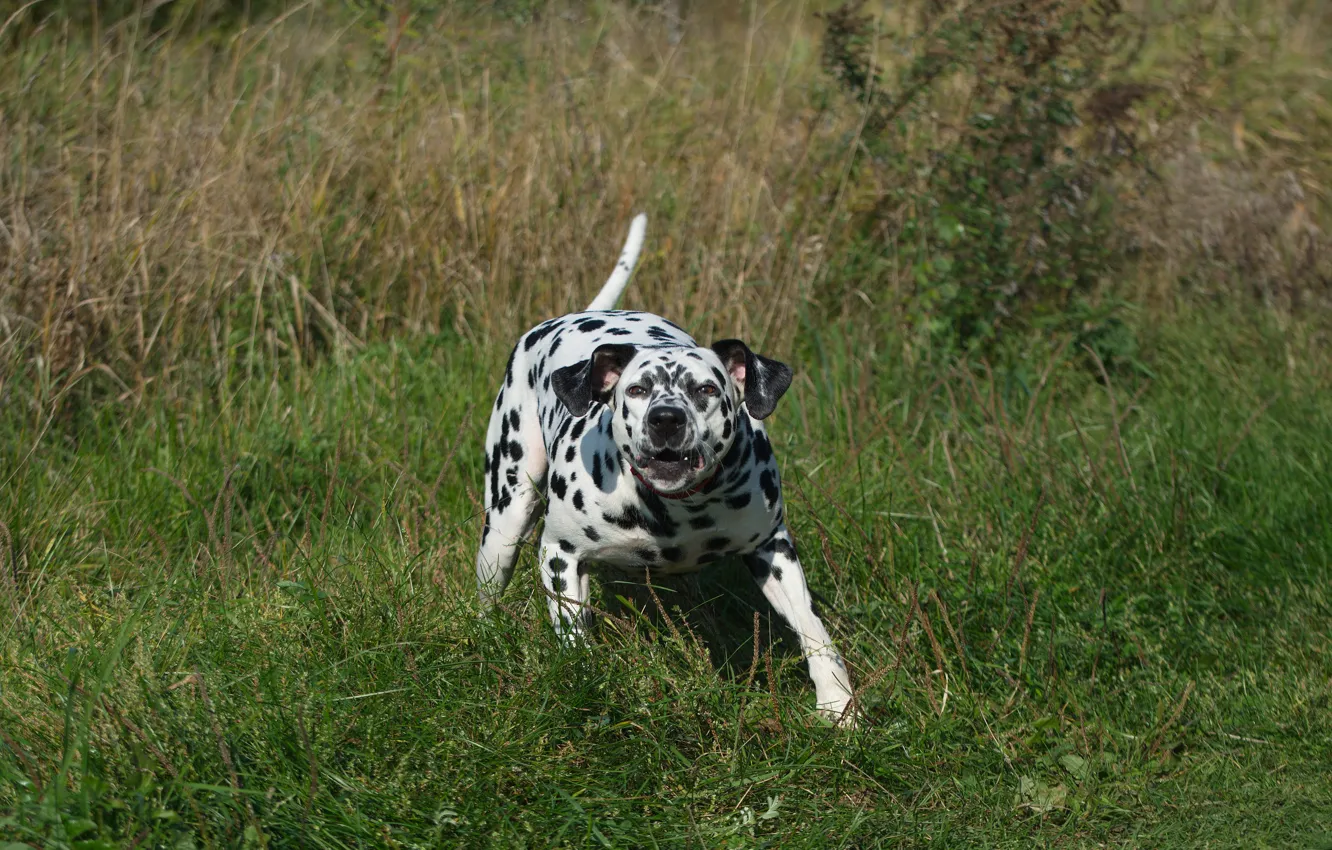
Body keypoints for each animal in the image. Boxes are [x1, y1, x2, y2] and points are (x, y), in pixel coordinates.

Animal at [474, 215, 857, 730]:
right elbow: (573, 635)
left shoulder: (773, 549)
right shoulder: (560, 555)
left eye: (706, 389)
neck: (678, 508)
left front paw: (839, 706)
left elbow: (814, 629)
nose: (666, 419)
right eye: (637, 389)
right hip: (506, 522)